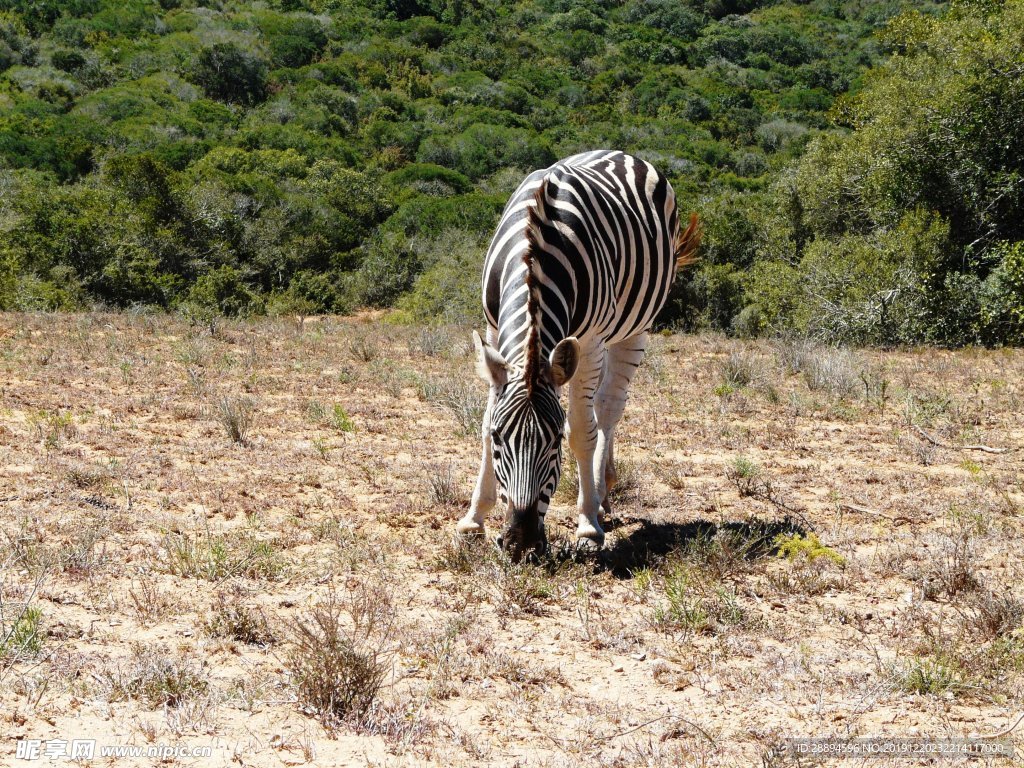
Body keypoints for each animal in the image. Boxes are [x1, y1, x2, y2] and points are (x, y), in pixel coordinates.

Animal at [454, 147, 696, 561]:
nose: (521, 544)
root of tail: (617, 151)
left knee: (608, 408)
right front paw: (474, 519)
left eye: (553, 443)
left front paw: (587, 527)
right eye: (502, 439)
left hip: (636, 327)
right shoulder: (492, 330)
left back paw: (599, 495)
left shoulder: (592, 339)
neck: (536, 250)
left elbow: (583, 429)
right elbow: (484, 421)